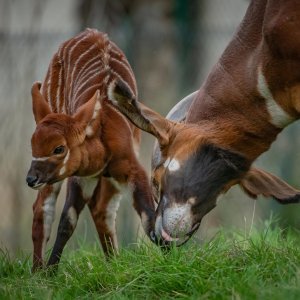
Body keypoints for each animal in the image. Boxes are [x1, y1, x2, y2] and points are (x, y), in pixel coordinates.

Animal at [26, 29, 156, 270]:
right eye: (33, 146)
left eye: (59, 148)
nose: (30, 179)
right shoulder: (81, 178)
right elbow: (67, 221)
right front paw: (50, 271)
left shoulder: (132, 170)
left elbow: (148, 216)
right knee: (41, 208)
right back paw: (37, 270)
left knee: (102, 210)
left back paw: (113, 262)